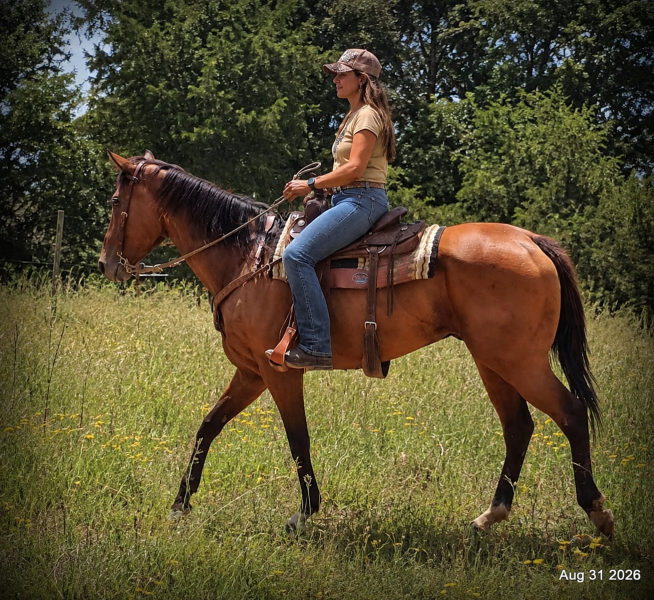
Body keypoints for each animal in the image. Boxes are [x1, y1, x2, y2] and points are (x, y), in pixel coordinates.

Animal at [98, 150, 614, 538]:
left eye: (115, 199)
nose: (107, 264)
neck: (249, 258)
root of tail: (531, 239)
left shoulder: (278, 370)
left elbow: (298, 438)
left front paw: (304, 513)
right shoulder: (250, 372)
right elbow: (209, 425)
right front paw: (180, 504)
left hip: (519, 361)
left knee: (570, 414)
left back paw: (597, 513)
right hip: (493, 361)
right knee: (518, 426)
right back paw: (490, 516)